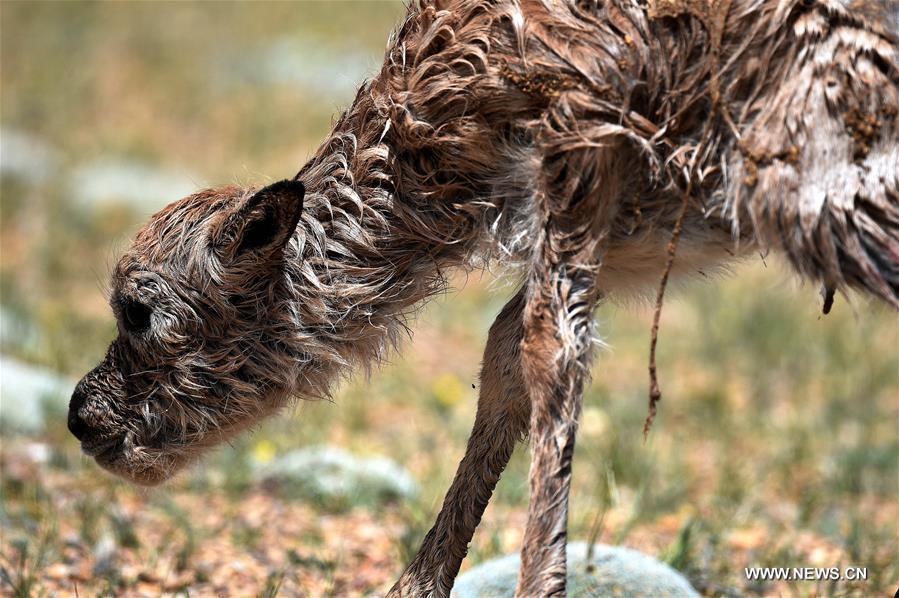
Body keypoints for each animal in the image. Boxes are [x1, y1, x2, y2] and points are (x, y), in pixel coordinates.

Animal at [72, 1, 899, 596]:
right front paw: (415, 586)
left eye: (137, 310)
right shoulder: (611, 232)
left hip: (825, 196)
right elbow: (505, 349)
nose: (80, 416)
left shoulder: (579, 152)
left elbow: (547, 349)